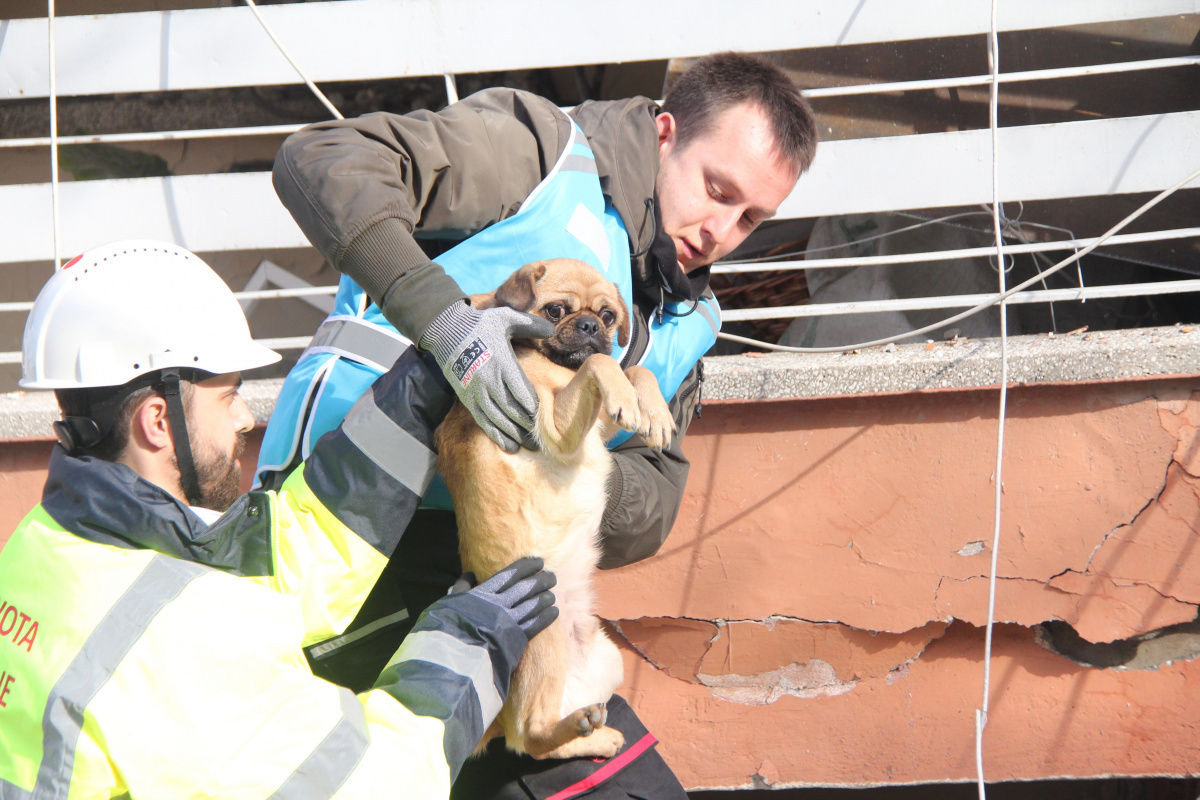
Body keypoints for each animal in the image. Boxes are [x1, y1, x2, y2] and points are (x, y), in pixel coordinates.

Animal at [436, 260, 676, 762]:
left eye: (607, 316)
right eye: (556, 311)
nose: (589, 327)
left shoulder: (594, 426)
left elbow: (636, 369)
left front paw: (654, 412)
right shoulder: (556, 427)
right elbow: (601, 363)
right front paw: (630, 395)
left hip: (609, 657)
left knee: (542, 743)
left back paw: (595, 733)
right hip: (541, 638)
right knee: (529, 735)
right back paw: (577, 725)